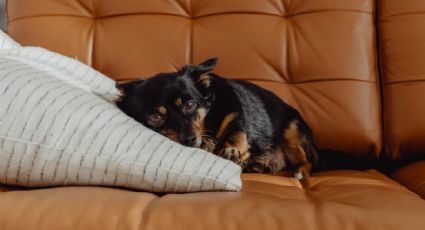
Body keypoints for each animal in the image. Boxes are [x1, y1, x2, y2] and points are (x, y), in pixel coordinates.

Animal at [116, 58, 368, 180]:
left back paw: (299, 172)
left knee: (310, 162)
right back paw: (260, 165)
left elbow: (236, 132)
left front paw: (230, 149)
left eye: (189, 104)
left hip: (293, 132)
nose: (190, 140)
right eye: (156, 117)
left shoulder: (236, 116)